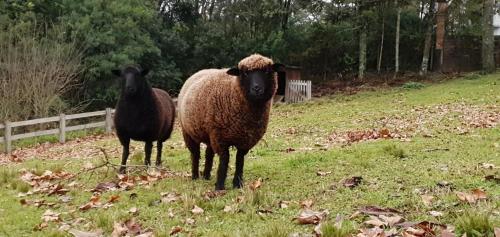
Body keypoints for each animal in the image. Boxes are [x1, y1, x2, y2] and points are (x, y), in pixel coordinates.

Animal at [178, 54, 284, 191]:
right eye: (245, 73)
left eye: (266, 71)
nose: (256, 88)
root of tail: (199, 71)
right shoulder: (220, 137)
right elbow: (224, 160)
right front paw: (219, 186)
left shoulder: (245, 139)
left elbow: (239, 160)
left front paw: (238, 184)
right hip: (189, 132)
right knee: (195, 154)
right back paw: (195, 176)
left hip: (209, 133)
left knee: (208, 154)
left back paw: (206, 175)